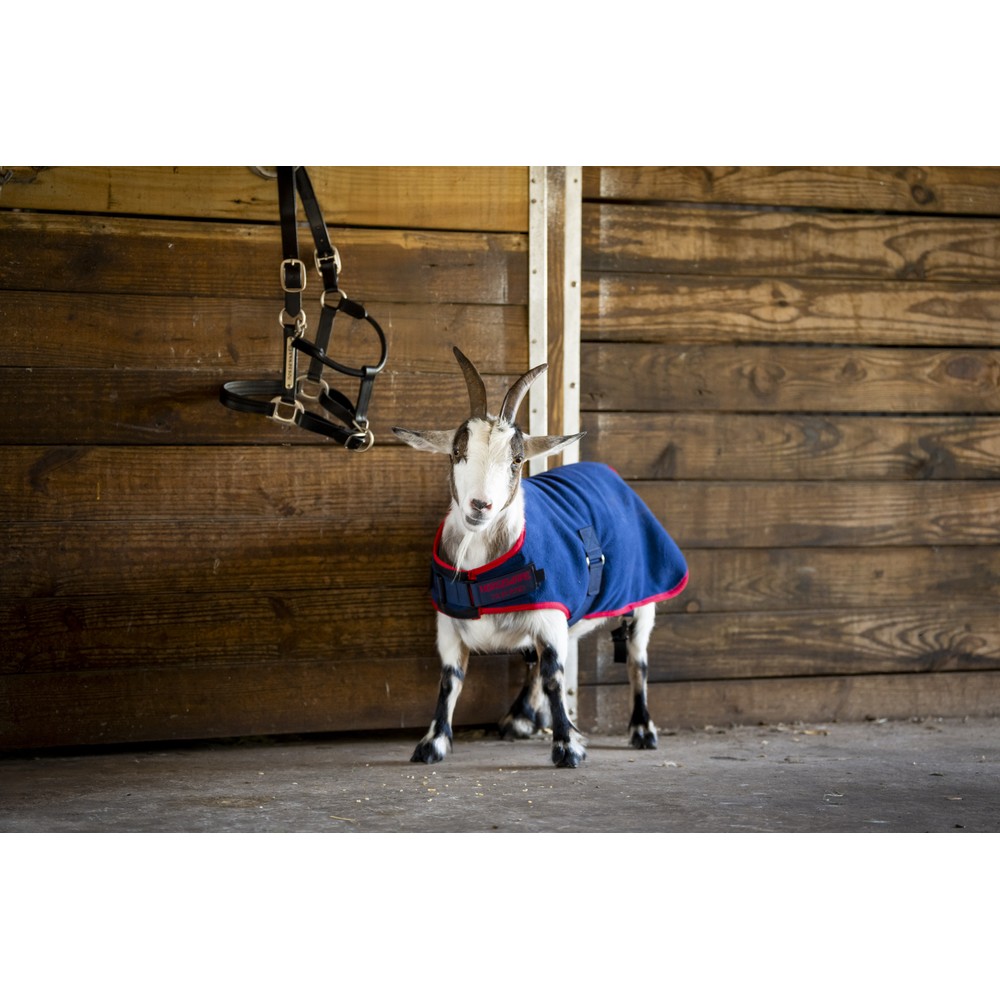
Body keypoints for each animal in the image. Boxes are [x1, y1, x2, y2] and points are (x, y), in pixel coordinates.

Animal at [393, 347, 688, 767]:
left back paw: (643, 729)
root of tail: (607, 473)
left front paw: (567, 746)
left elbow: (554, 676)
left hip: (644, 594)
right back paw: (518, 718)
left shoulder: (551, 613)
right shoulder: (450, 624)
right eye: (456, 452)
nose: (480, 505)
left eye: (516, 460)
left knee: (637, 660)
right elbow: (449, 680)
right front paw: (432, 743)